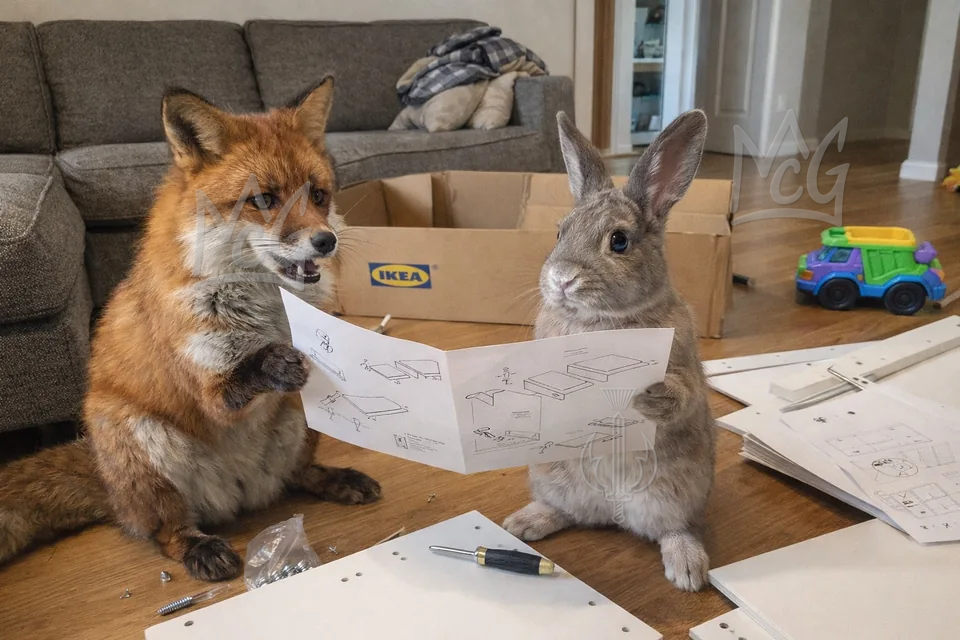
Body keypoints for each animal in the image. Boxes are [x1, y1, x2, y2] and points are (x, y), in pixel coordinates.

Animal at [0, 77, 382, 581]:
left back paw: (333, 479)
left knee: (296, 477)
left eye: (318, 195)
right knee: (165, 531)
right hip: (137, 436)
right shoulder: (210, 386)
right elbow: (236, 382)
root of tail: (240, 495)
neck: (265, 309)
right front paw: (275, 362)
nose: (326, 241)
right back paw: (197, 546)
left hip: (299, 422)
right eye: (264, 200)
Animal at [502, 109, 716, 591]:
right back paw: (521, 525)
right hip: (552, 478)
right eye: (559, 232)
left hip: (675, 494)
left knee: (673, 529)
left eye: (619, 241)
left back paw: (688, 571)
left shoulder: (684, 362)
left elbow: (684, 393)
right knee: (566, 511)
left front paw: (650, 395)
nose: (562, 279)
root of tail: (614, 512)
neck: (599, 322)